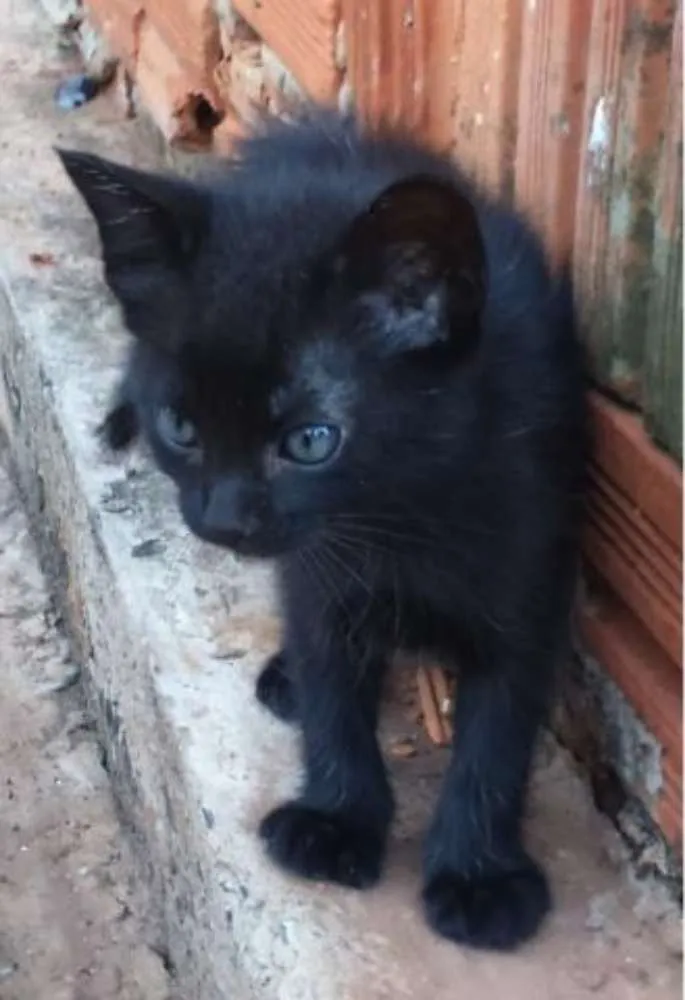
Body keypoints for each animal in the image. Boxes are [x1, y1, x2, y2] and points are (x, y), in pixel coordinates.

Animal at [57, 109, 588, 952]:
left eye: (310, 441)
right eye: (180, 427)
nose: (223, 518)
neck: (400, 509)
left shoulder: (532, 563)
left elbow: (498, 728)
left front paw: (478, 876)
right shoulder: (316, 573)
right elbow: (332, 676)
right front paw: (337, 820)